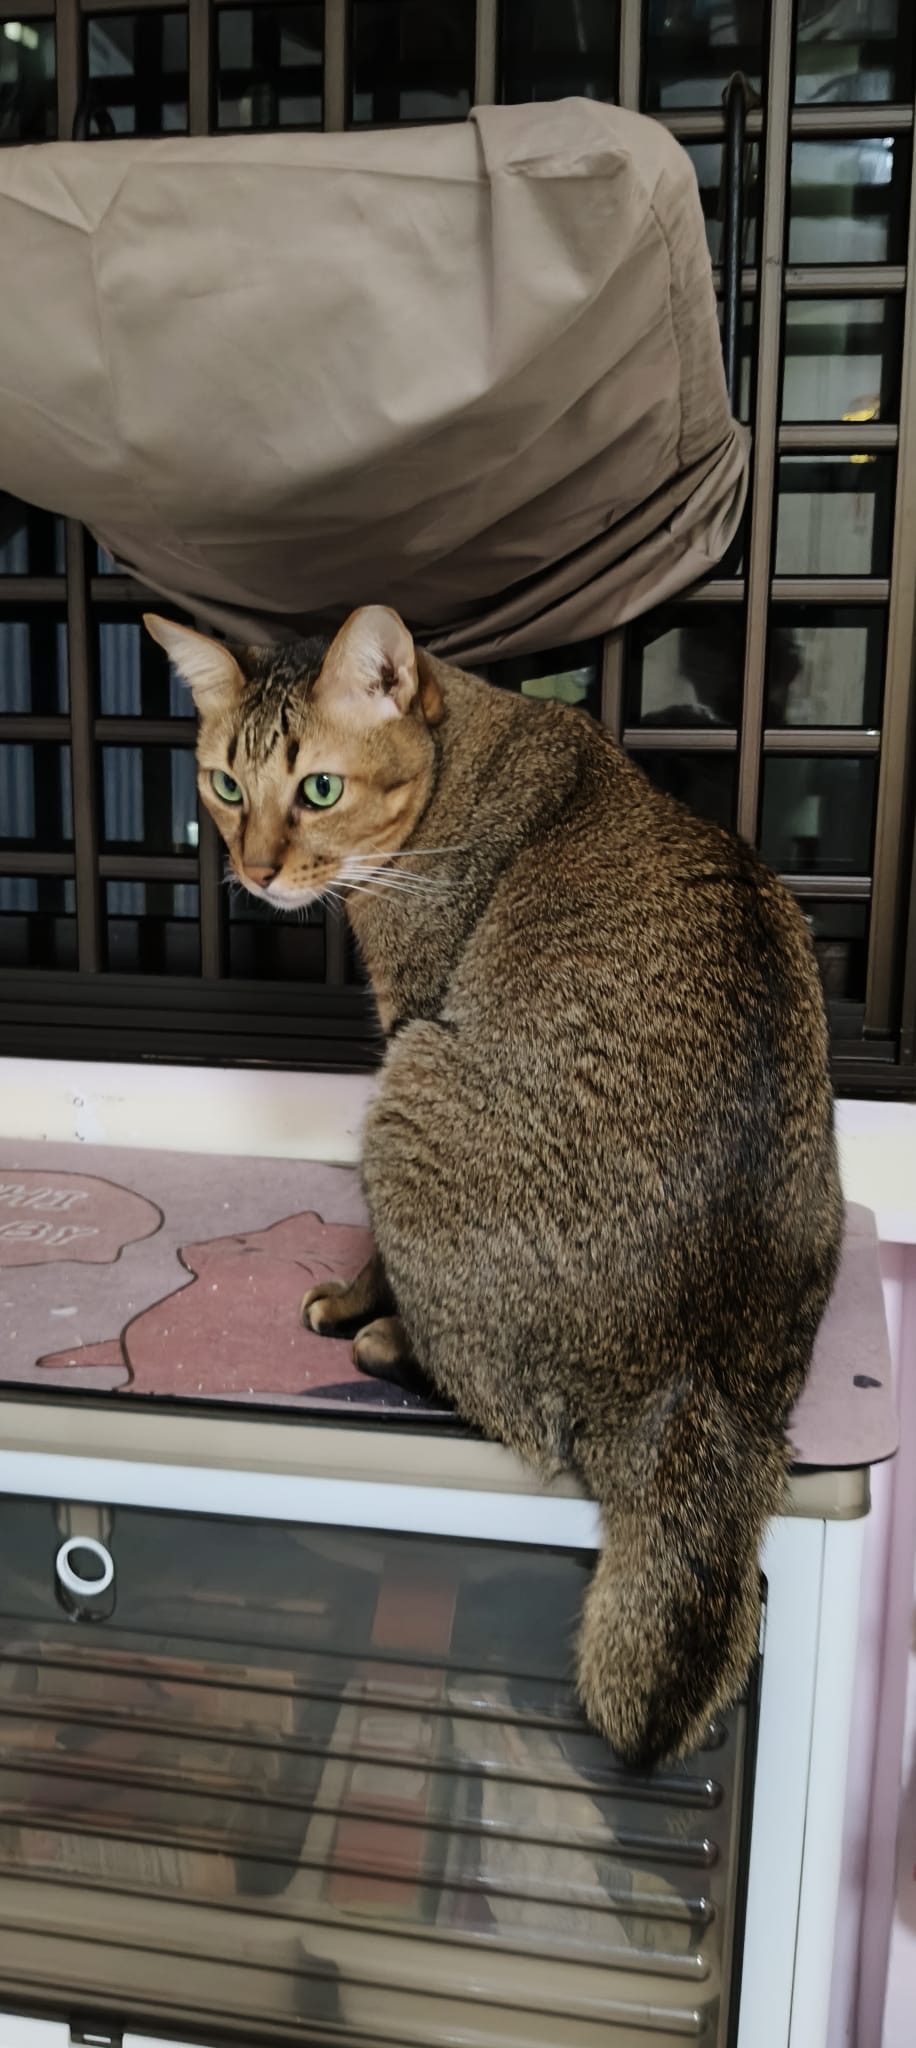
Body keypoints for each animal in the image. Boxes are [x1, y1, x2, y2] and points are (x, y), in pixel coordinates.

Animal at [145, 604, 843, 1768]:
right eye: (226, 786)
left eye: (318, 788)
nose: (258, 871)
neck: (460, 752)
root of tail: (700, 1383)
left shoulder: (411, 1013)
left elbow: (378, 1256)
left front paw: (353, 1300)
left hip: (412, 1088)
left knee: (509, 1410)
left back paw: (389, 1344)